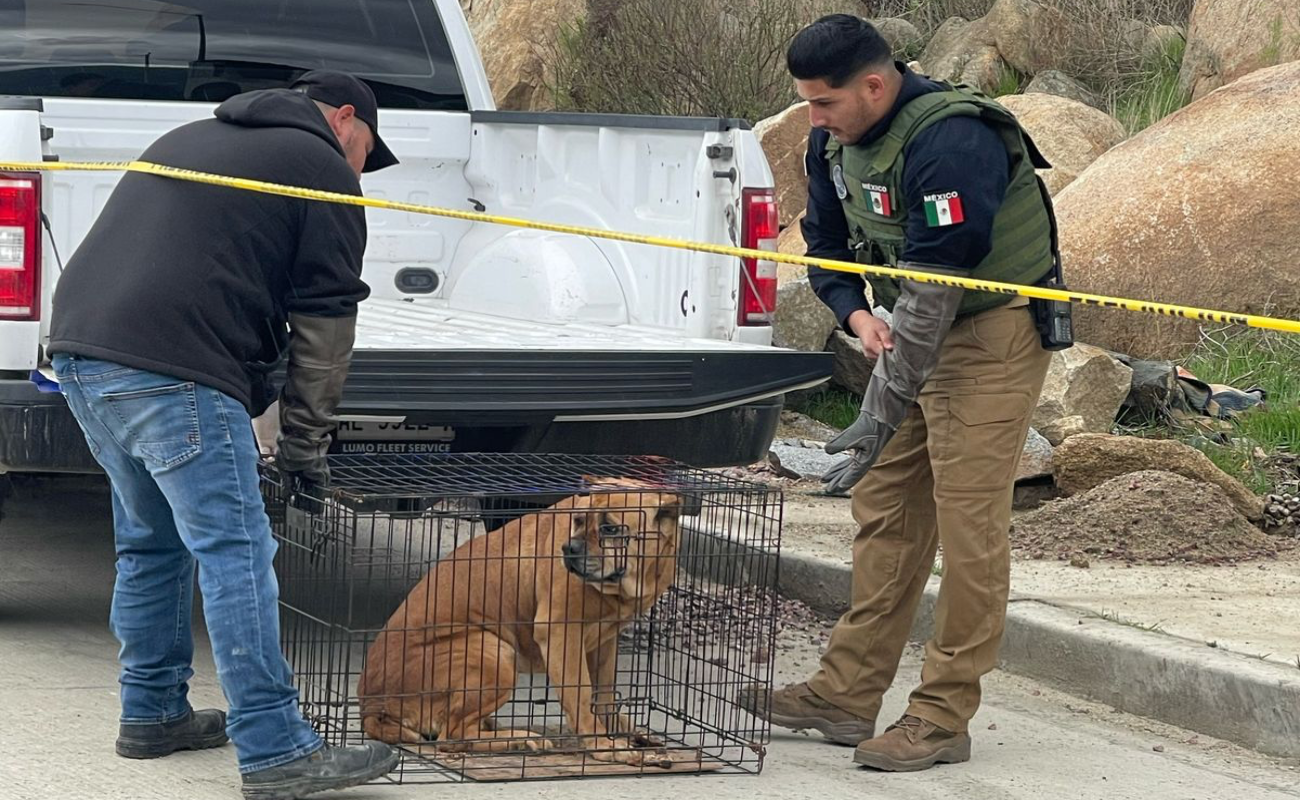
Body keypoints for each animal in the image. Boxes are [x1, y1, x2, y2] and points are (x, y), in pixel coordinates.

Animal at [351, 478, 686, 764]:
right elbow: (580, 697)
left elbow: (603, 695)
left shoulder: (605, 641)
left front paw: (622, 731)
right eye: (579, 521)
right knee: (454, 735)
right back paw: (519, 738)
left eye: (611, 529)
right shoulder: (562, 635)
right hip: (491, 650)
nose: (569, 548)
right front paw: (604, 746)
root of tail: (373, 708)